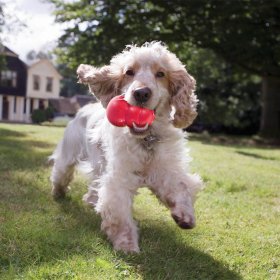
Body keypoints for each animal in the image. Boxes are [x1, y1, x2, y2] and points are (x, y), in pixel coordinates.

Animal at [50, 42, 202, 254]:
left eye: (161, 74)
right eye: (129, 72)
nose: (141, 93)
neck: (146, 139)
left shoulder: (165, 169)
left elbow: (180, 187)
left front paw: (184, 215)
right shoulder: (119, 179)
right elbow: (120, 216)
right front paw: (126, 244)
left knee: (94, 185)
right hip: (69, 155)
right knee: (61, 173)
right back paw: (58, 192)